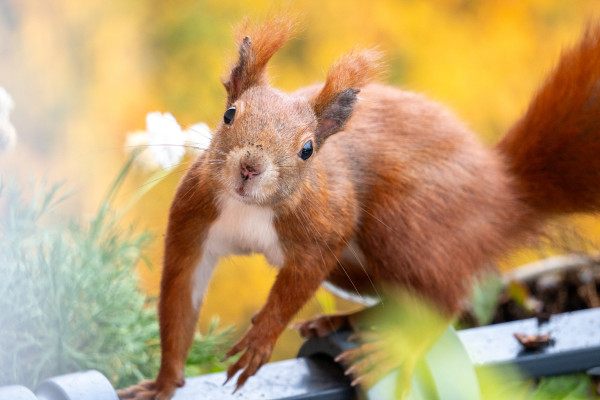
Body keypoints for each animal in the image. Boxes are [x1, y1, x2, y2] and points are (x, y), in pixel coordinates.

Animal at [117, 15, 600, 400]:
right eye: (229, 114)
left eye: (308, 149)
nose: (250, 167)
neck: (249, 209)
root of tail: (503, 193)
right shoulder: (193, 222)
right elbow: (179, 302)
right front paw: (163, 382)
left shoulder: (327, 225)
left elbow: (293, 288)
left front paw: (260, 339)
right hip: (357, 268)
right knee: (404, 297)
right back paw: (343, 322)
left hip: (401, 224)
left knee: (443, 299)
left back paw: (389, 349)